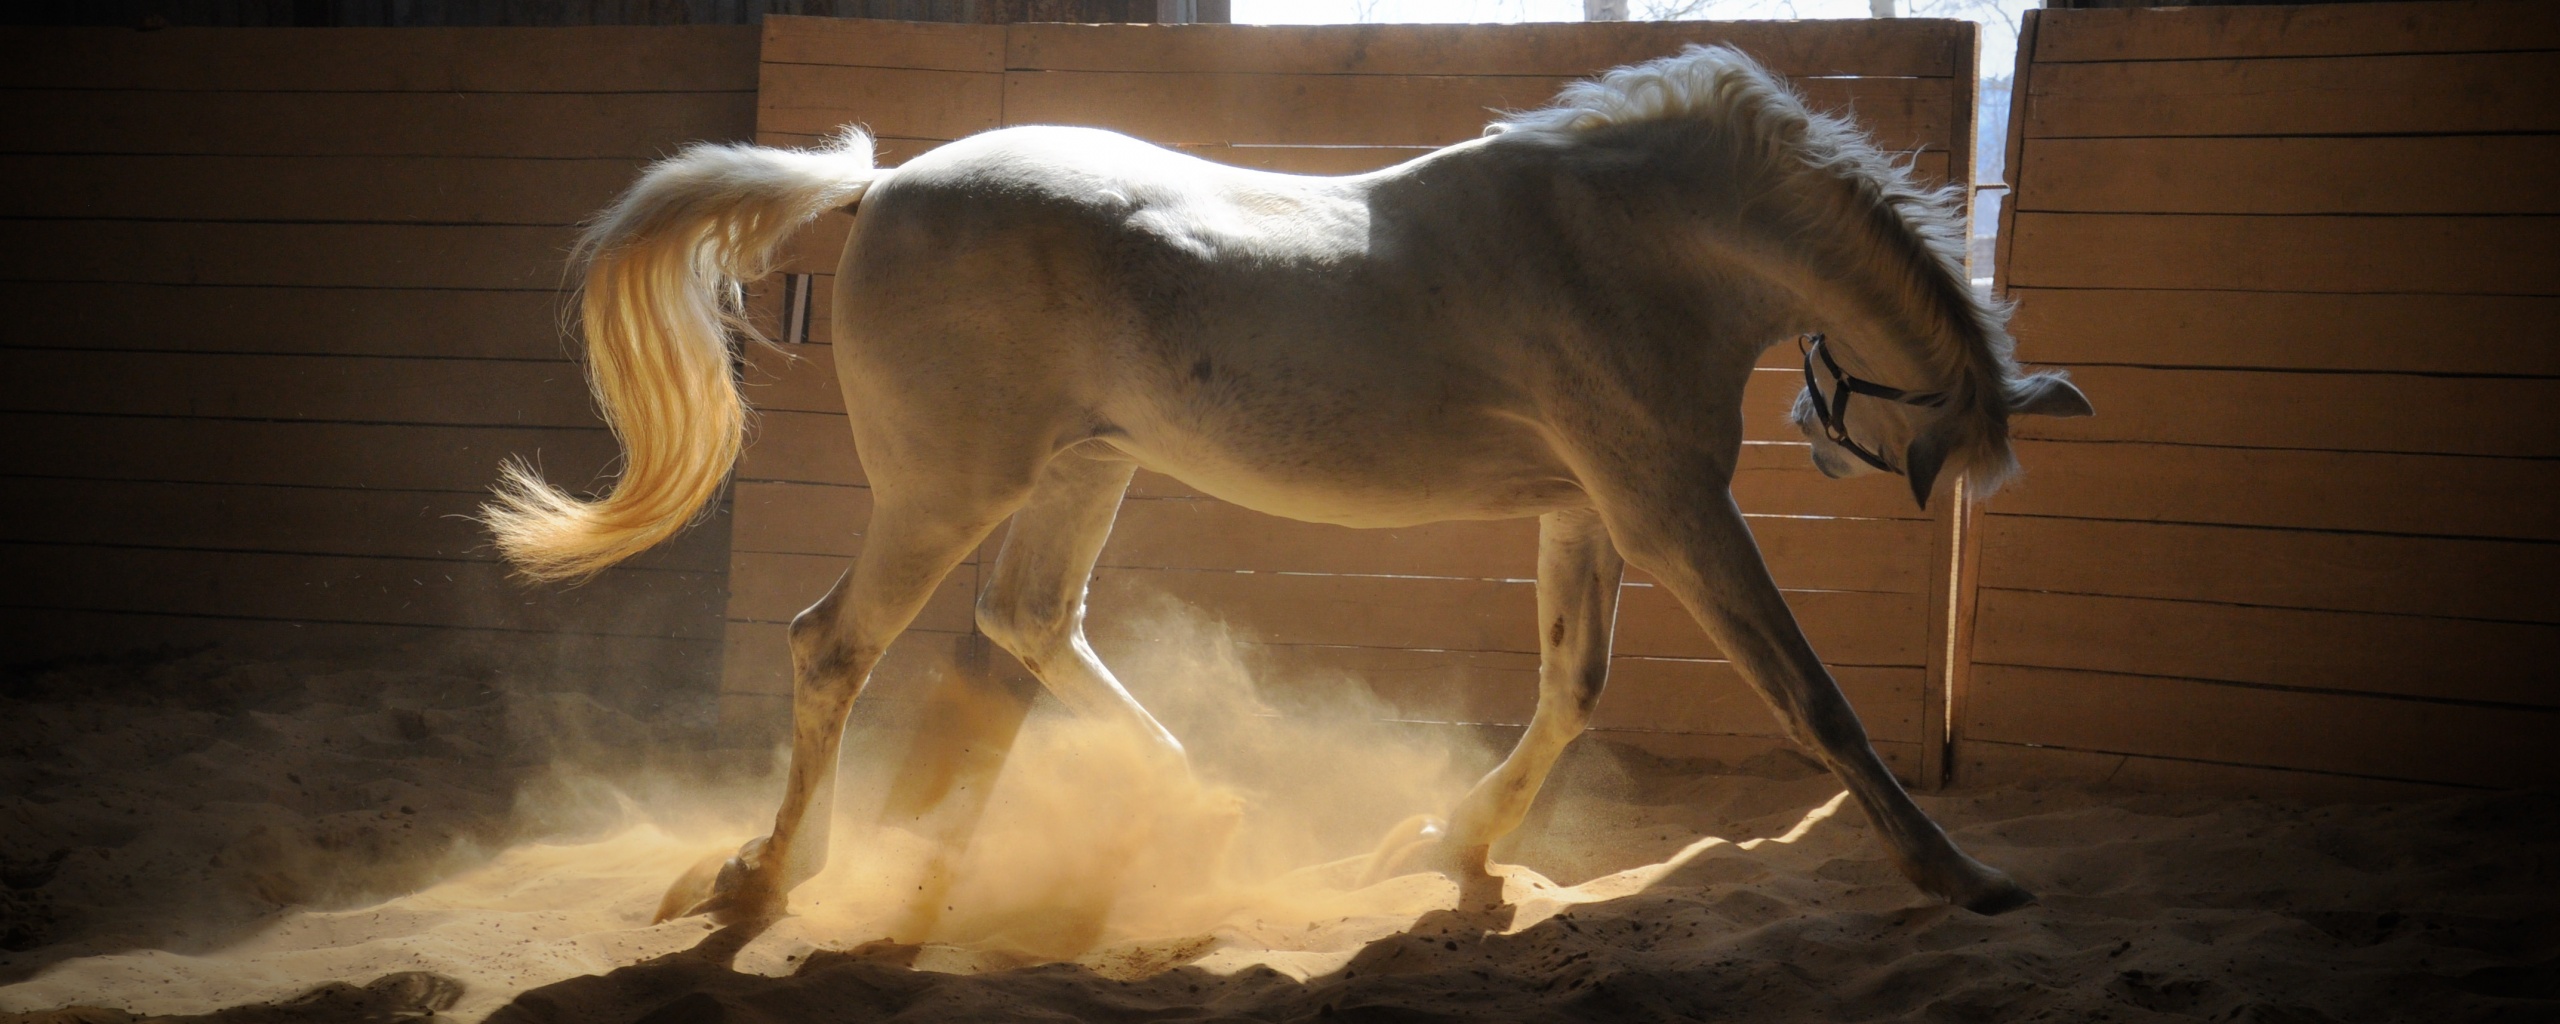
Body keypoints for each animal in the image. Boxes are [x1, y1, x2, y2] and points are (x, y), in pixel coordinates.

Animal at [481, 46, 2078, 926]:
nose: (1830, 441)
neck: (1627, 239)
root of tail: (881, 187)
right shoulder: (1672, 510)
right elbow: (1812, 701)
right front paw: (1963, 878)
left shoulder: (1590, 514)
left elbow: (1573, 690)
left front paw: (1449, 846)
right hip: (945, 489)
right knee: (837, 647)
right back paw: (764, 878)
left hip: (1083, 472)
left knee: (1028, 623)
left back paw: (1201, 808)